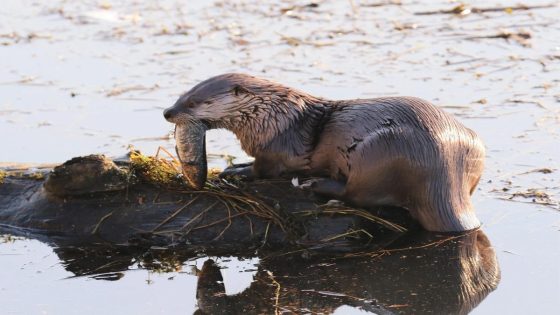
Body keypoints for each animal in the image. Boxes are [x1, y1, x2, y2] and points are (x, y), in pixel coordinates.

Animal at [163, 73, 486, 232]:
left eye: (193, 103)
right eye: (181, 95)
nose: (167, 112)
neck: (271, 117)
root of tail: (444, 170)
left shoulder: (275, 149)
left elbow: (263, 169)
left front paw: (237, 171)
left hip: (381, 151)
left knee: (358, 195)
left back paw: (317, 185)